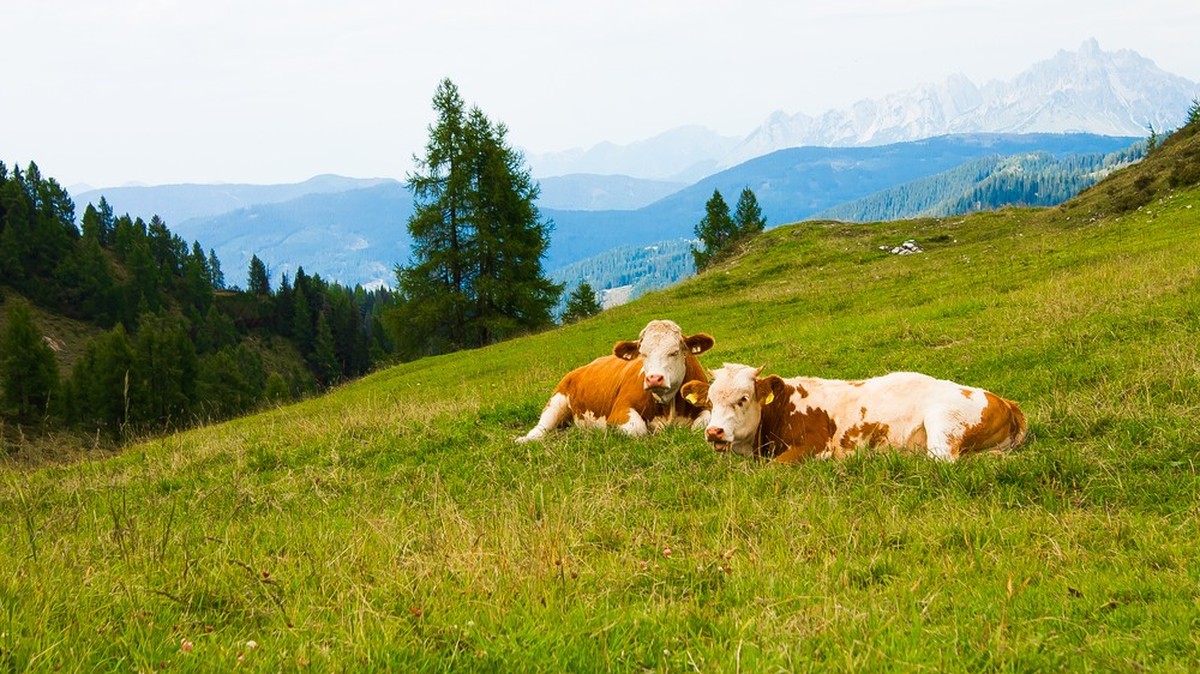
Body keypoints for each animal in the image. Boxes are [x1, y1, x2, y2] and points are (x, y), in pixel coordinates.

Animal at [516, 319, 716, 443]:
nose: (653, 379)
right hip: (556, 401)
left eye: (674, 351)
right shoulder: (619, 412)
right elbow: (637, 429)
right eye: (642, 353)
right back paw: (523, 440)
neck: (668, 406)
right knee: (541, 428)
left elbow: (701, 425)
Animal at [680, 363, 1027, 461]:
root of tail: (1005, 400)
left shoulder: (815, 445)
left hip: (942, 425)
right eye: (710, 403)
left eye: (743, 398)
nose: (714, 432)